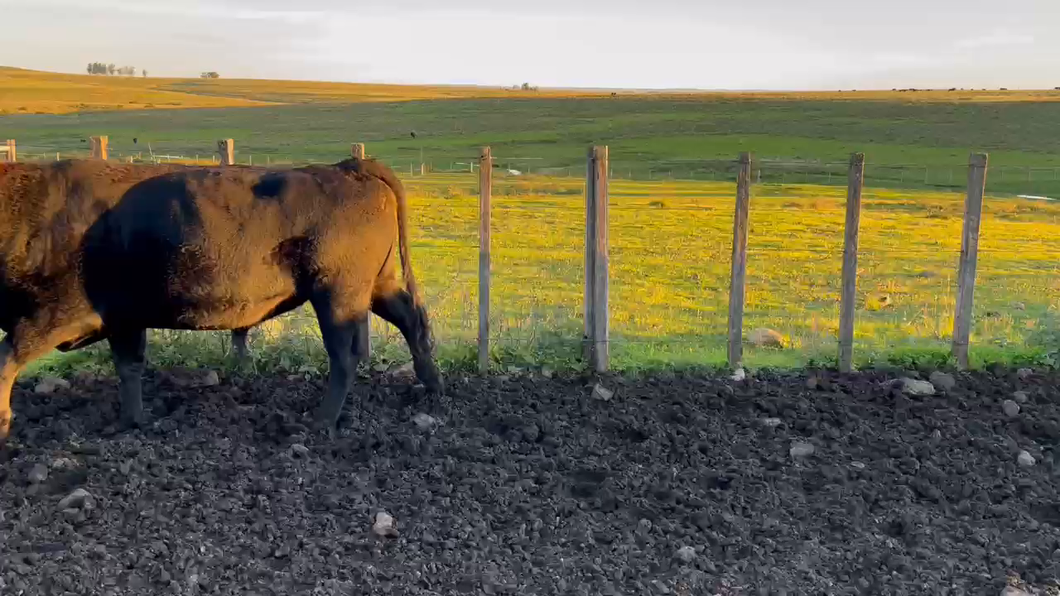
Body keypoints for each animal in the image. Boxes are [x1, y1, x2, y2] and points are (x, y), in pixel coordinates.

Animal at [0, 158, 440, 441]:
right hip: (374, 285)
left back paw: (321, 423)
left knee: (345, 356)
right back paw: (431, 384)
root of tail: (347, 167)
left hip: (337, 296)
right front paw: (132, 421)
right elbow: (129, 368)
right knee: (411, 319)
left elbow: (6, 360)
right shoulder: (124, 319)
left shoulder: (52, 315)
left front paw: (3, 424)